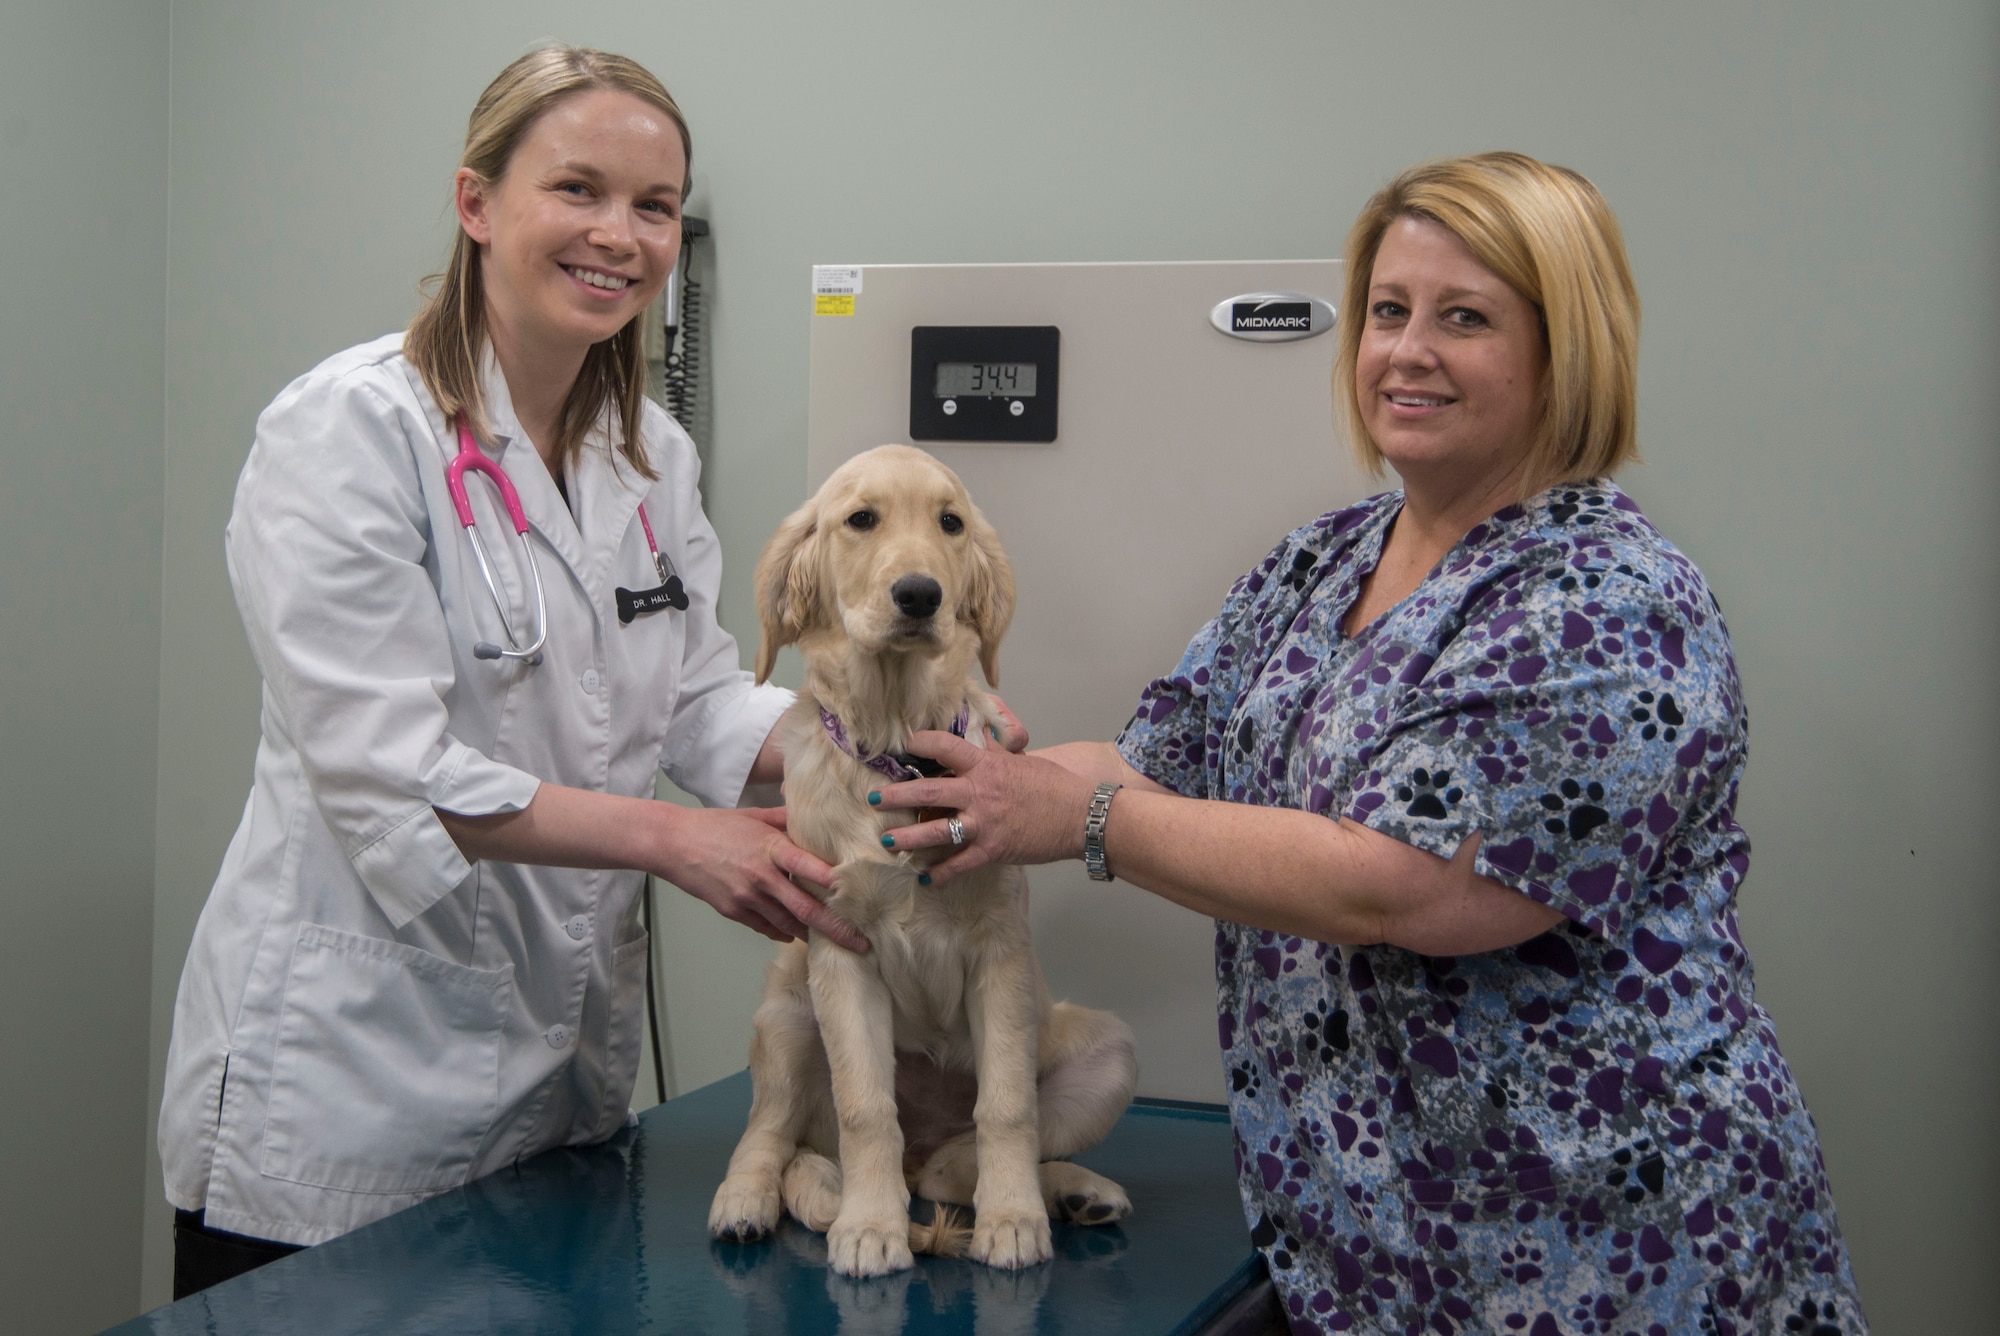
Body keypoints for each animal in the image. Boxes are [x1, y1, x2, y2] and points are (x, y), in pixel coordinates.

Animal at [712, 446, 1136, 1272]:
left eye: (951, 523)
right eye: (860, 519)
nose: (919, 594)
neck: (901, 748)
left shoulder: (1001, 952)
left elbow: (1007, 1107)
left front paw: (1013, 1217)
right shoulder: (840, 951)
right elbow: (865, 1108)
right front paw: (870, 1227)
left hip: (1109, 1051)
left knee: (953, 1165)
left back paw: (1067, 1189)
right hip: (788, 1015)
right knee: (774, 1134)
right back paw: (748, 1198)